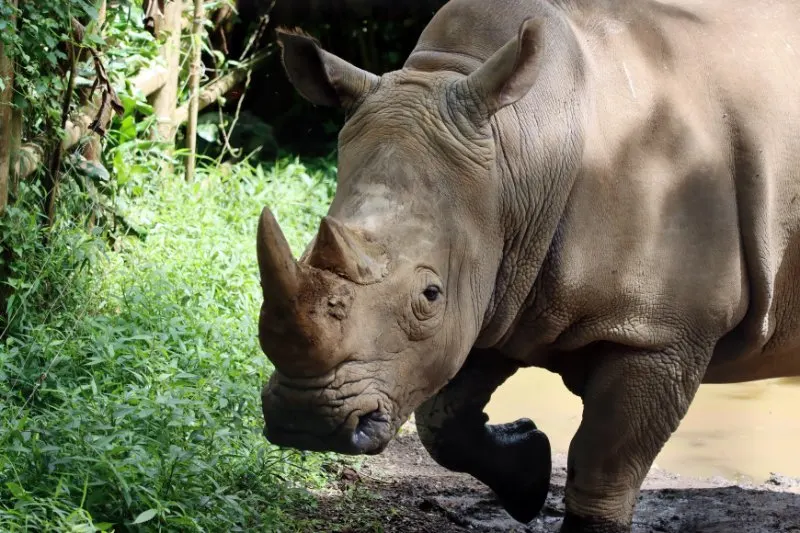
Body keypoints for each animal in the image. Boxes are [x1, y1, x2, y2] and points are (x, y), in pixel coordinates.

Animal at [255, 0, 800, 528]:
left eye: (430, 295)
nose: (305, 421)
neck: (517, 150)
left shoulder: (659, 332)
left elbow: (604, 467)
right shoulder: (499, 284)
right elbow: (443, 418)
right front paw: (528, 474)